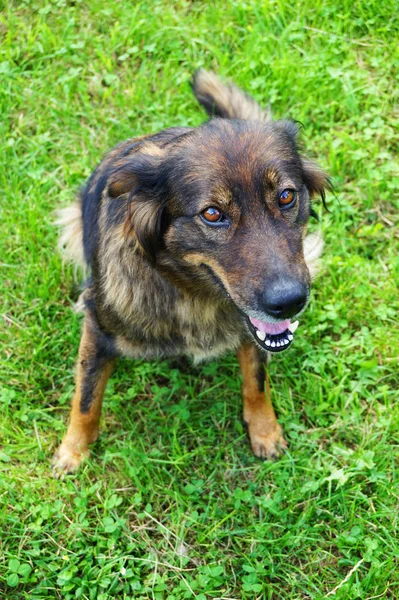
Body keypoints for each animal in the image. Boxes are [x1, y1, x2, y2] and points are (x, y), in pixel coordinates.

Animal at [51, 70, 330, 476]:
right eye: (212, 214)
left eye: (286, 196)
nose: (289, 302)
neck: (193, 292)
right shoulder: (99, 328)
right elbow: (86, 397)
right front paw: (72, 452)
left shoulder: (254, 331)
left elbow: (256, 381)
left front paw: (265, 431)